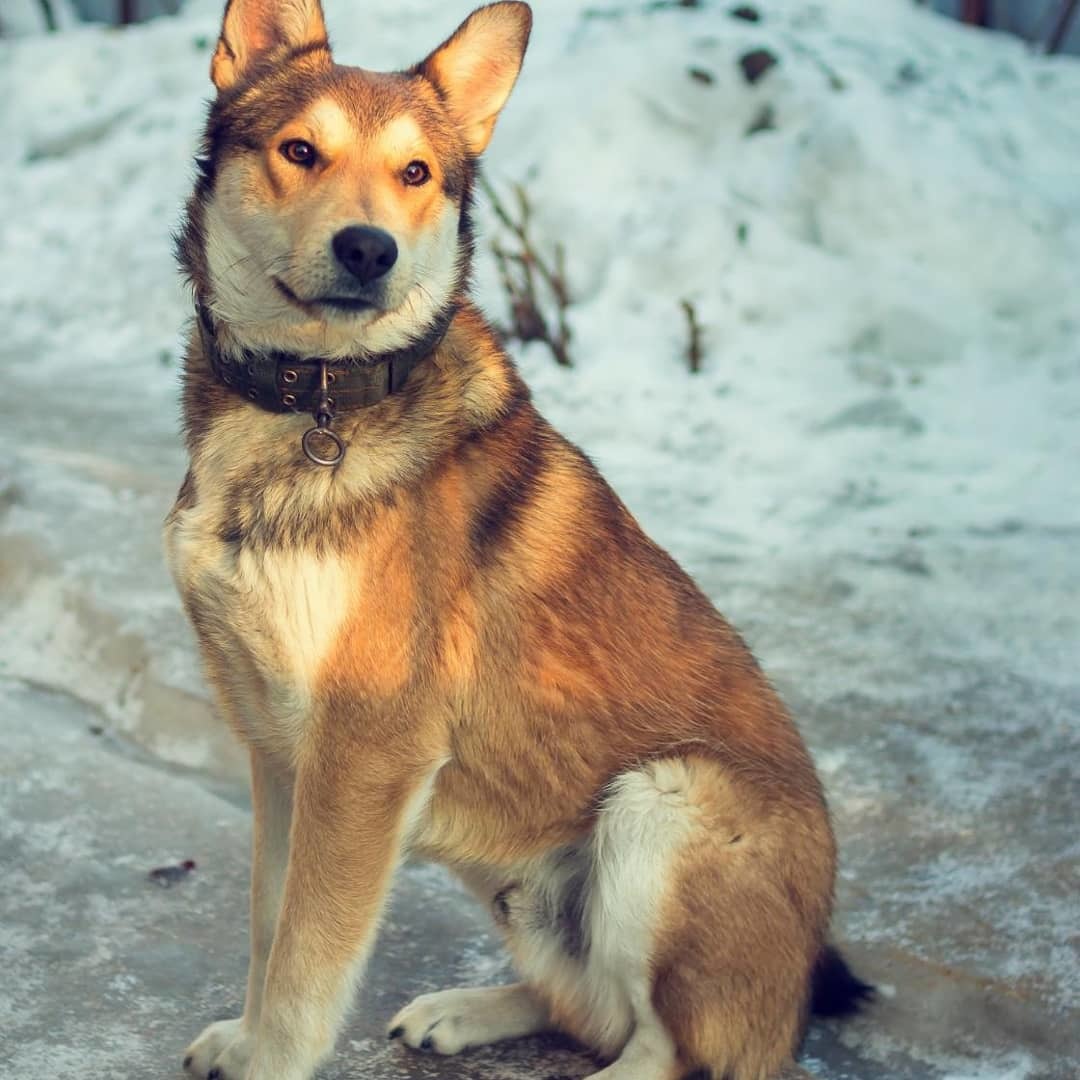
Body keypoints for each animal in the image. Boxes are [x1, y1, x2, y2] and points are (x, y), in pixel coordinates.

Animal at [164, 2, 868, 1080]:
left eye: (416, 173)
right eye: (299, 151)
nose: (368, 250)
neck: (312, 404)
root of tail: (798, 985)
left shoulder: (363, 756)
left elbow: (306, 961)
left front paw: (268, 1059)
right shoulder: (279, 751)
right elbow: (267, 927)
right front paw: (244, 1039)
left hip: (659, 804)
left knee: (668, 1048)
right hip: (523, 880)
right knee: (587, 1008)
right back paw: (464, 1011)